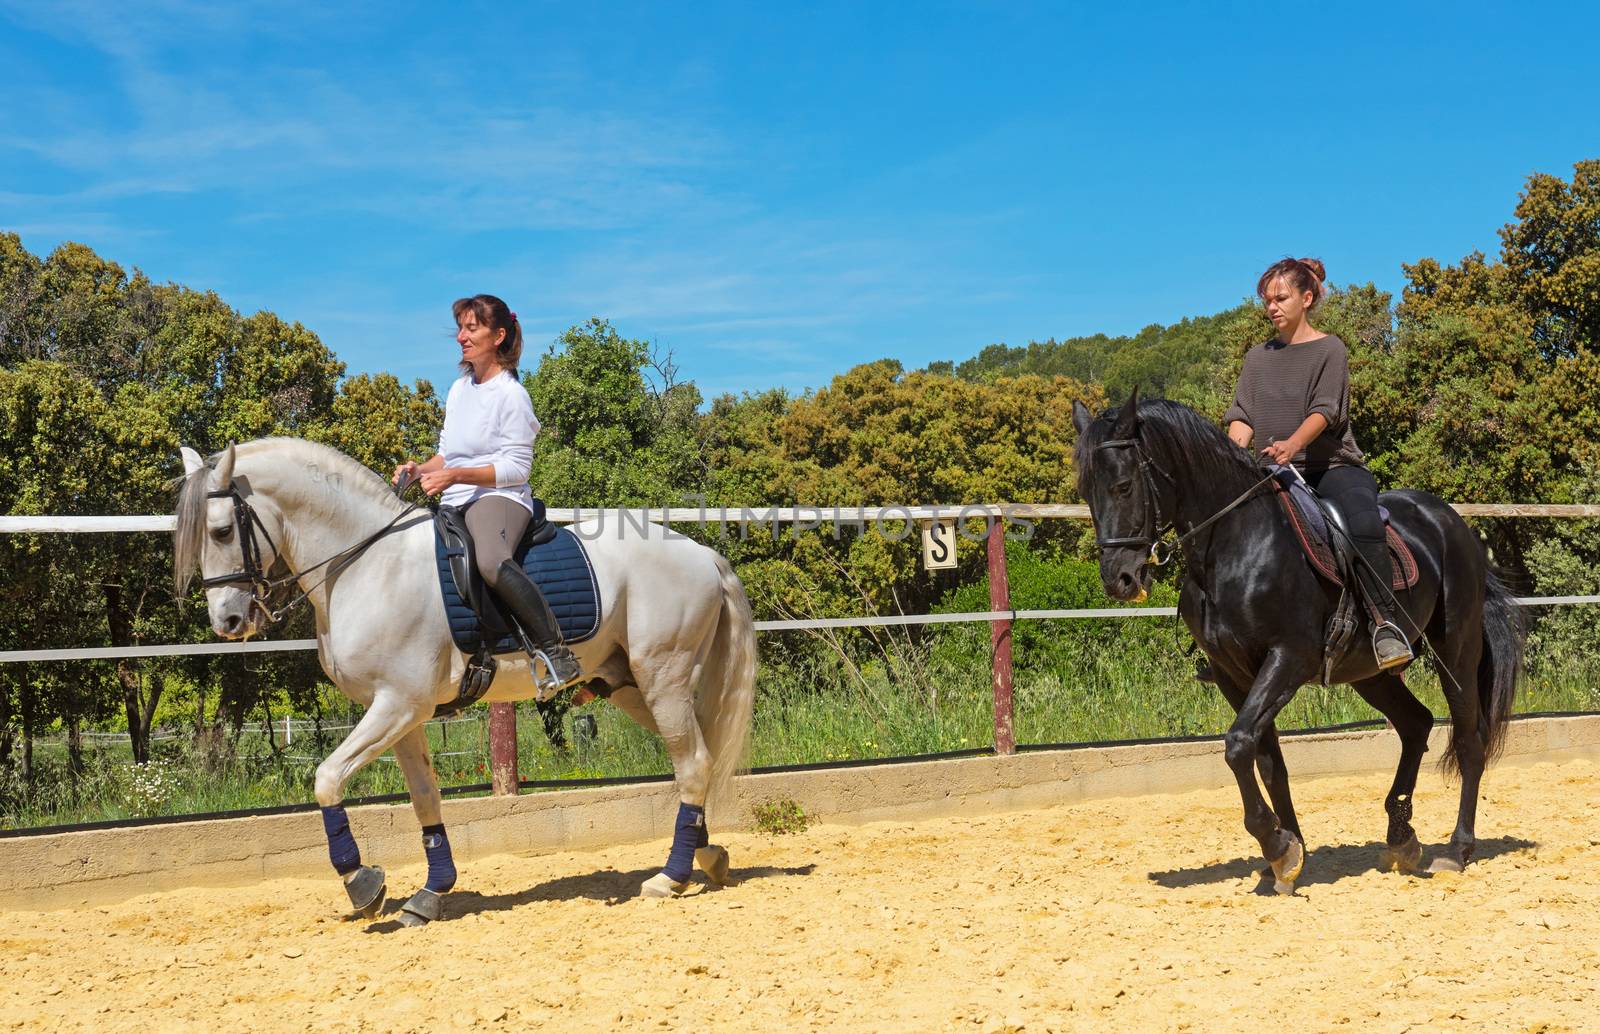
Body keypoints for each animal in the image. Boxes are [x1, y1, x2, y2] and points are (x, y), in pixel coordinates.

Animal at [175, 438, 755, 921]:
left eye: (222, 530)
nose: (227, 623)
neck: (367, 565)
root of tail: (703, 554)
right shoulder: (403, 716)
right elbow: (425, 798)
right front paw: (430, 893)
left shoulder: (398, 705)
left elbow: (327, 778)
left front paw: (363, 884)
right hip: (633, 687)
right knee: (696, 760)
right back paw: (707, 855)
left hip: (663, 679)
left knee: (693, 763)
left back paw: (670, 877)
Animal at [1068, 393, 1516, 896]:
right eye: (1086, 491)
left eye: (1124, 486)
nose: (1119, 580)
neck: (1236, 545)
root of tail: (1453, 523)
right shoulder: (1234, 674)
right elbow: (1265, 760)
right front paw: (1285, 855)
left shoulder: (1288, 658)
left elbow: (1238, 744)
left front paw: (1278, 845)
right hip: (1367, 672)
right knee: (1416, 723)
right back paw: (1401, 837)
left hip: (1455, 650)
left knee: (1469, 739)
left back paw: (1456, 850)